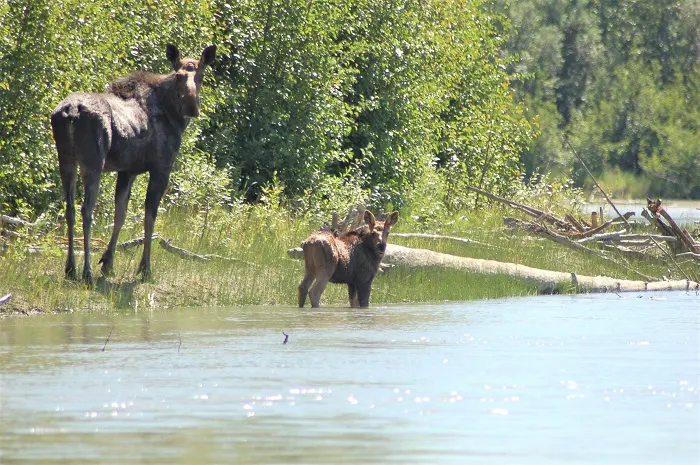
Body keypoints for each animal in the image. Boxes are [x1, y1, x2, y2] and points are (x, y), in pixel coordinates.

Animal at [50, 43, 216, 283]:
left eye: (201, 76)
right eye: (178, 76)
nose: (192, 107)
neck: (174, 116)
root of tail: (71, 113)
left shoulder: (127, 170)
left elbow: (120, 214)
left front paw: (108, 263)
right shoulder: (161, 168)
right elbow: (149, 217)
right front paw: (145, 268)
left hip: (65, 159)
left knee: (70, 208)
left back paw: (71, 268)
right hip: (93, 161)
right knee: (86, 208)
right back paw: (86, 271)